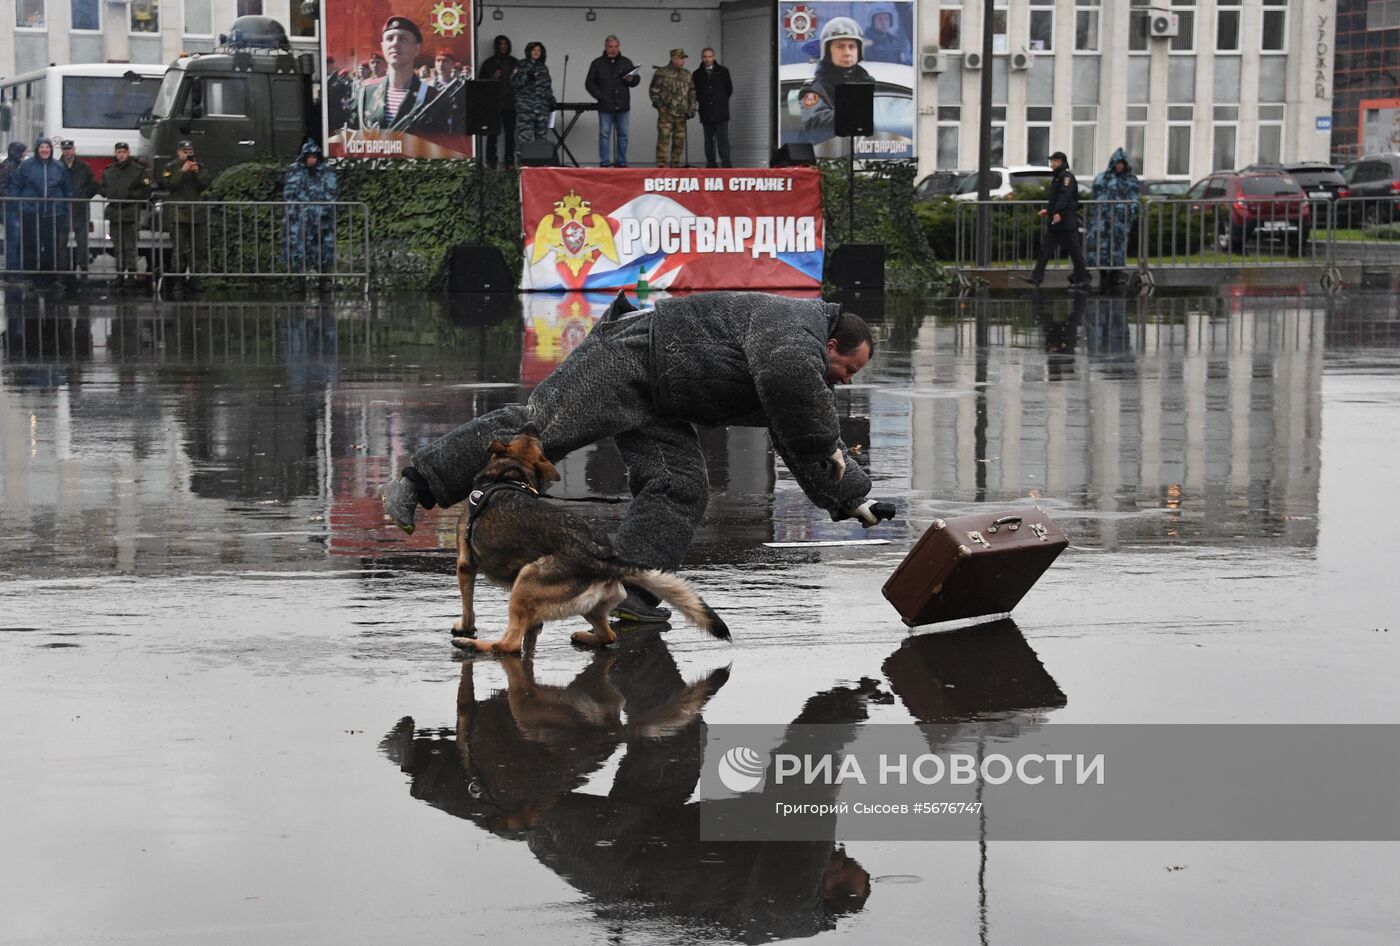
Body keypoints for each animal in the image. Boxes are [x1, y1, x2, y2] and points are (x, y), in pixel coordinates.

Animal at [450, 431, 733, 657]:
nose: (533, 422)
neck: (510, 475)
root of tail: (603, 557)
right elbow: (532, 628)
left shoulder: (465, 565)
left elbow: (468, 605)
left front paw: (465, 628)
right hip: (589, 606)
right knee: (608, 636)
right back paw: (585, 637)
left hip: (526, 582)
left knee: (508, 645)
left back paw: (471, 645)